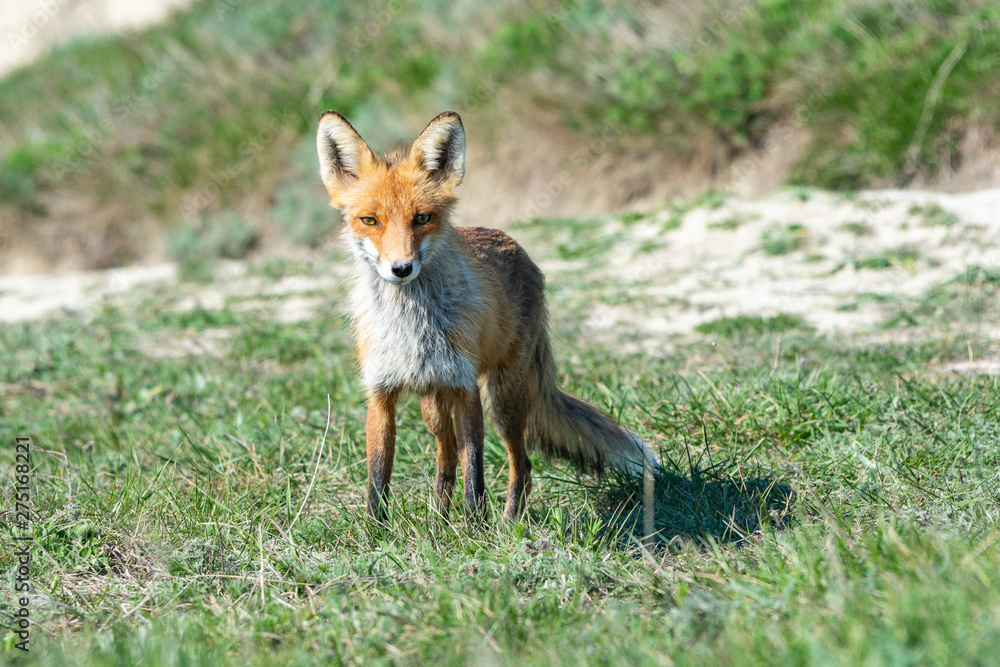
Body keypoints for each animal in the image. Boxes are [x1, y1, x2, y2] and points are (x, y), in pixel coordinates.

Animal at [314, 108, 656, 528]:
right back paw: (439, 522)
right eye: (369, 221)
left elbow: (474, 471)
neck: (413, 328)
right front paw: (375, 533)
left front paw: (476, 530)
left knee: (521, 465)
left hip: (503, 401)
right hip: (433, 406)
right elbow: (378, 478)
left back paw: (507, 524)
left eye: (422, 218)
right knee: (446, 459)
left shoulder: (465, 388)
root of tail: (516, 247)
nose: (401, 268)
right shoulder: (380, 392)